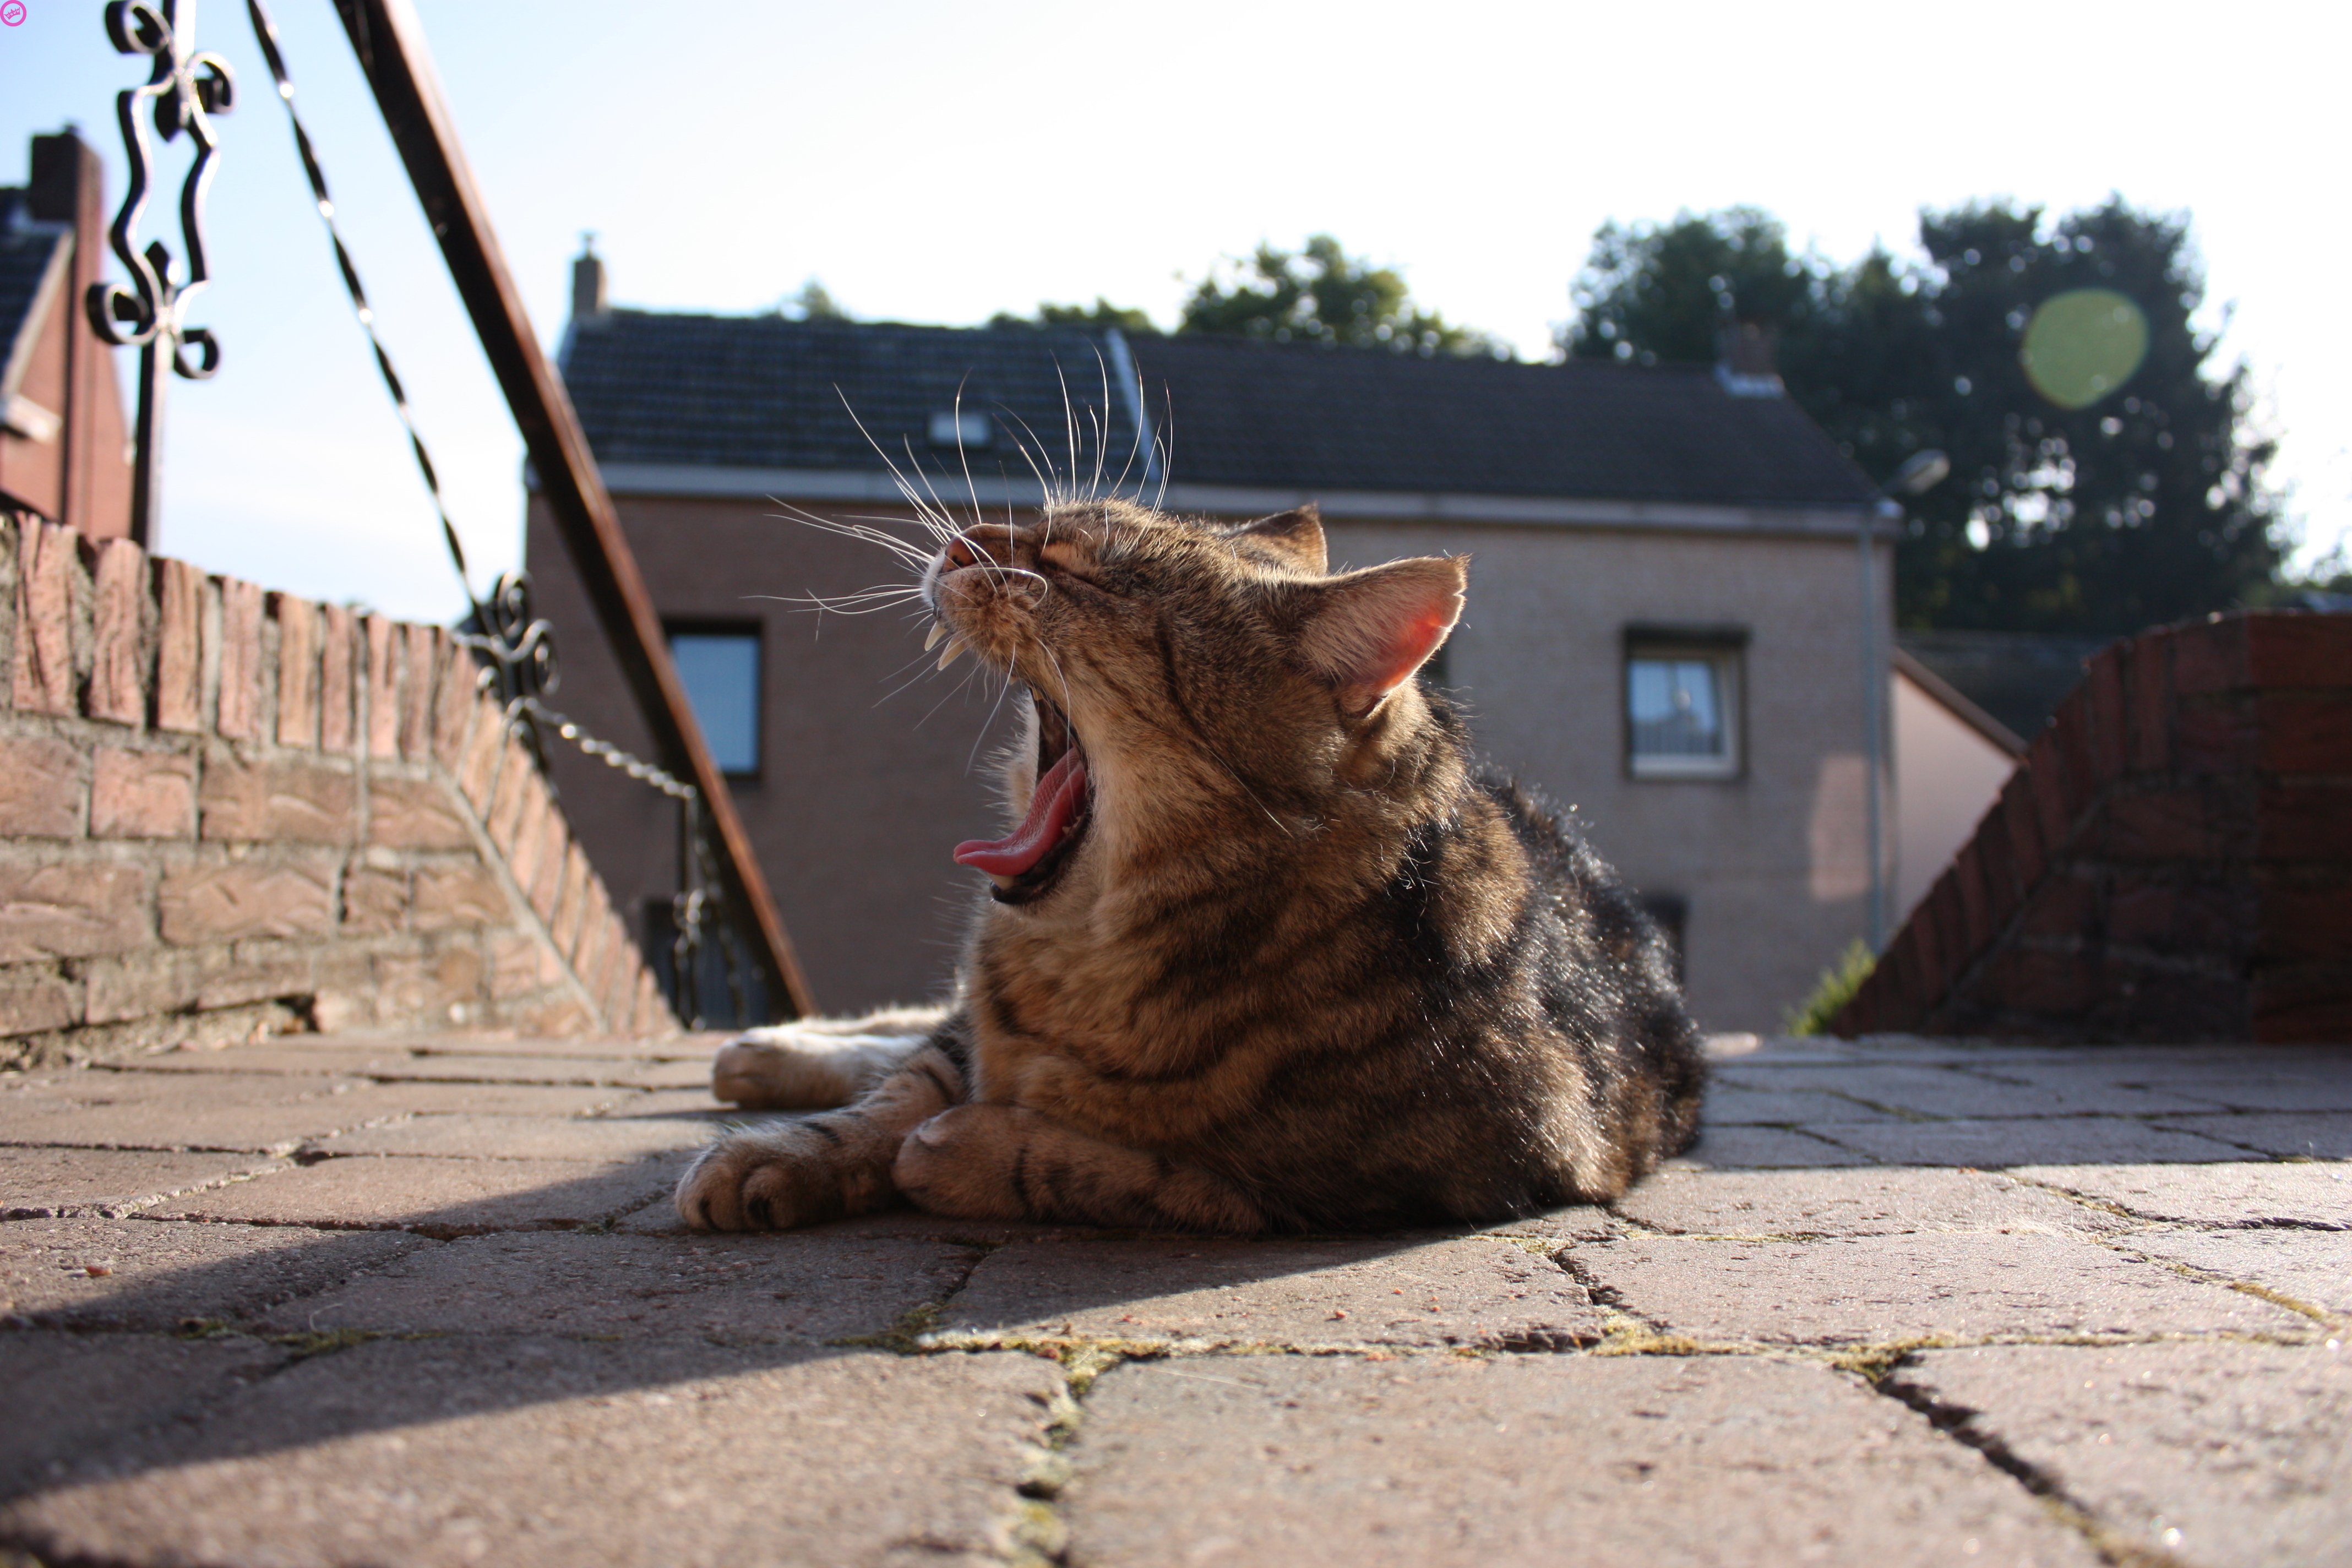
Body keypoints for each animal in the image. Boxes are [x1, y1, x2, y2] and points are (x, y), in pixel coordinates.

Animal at [672, 503, 1702, 1241]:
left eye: (1073, 571)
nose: (959, 543)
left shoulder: (1433, 1172)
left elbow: (1146, 1173)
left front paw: (968, 1149)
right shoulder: (974, 1031)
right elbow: (902, 1089)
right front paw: (786, 1153)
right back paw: (765, 1052)